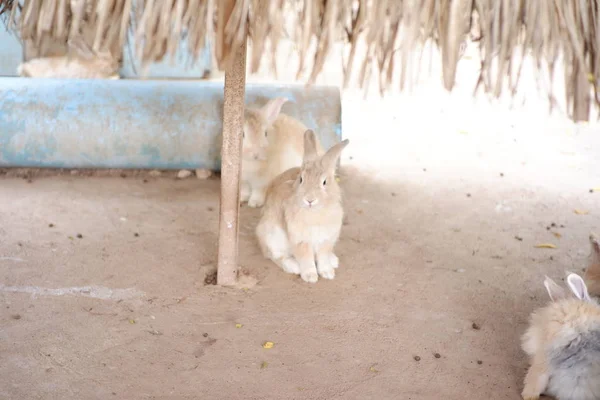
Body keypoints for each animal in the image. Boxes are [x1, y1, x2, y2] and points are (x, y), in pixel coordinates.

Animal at [255, 130, 350, 282]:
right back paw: (293, 266)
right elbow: (306, 258)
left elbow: (323, 257)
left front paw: (327, 273)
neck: (316, 212)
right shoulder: (301, 240)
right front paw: (310, 276)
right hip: (272, 235)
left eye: (324, 182)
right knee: (274, 255)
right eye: (301, 179)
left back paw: (333, 260)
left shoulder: (326, 239)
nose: (309, 200)